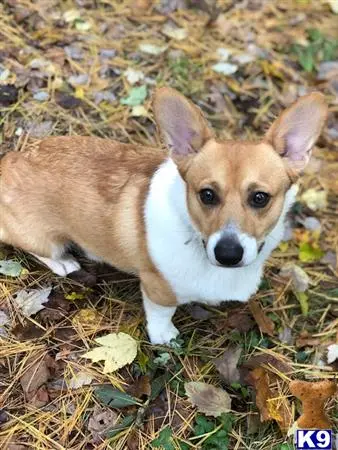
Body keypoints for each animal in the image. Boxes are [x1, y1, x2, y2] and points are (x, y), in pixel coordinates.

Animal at [0, 88, 328, 344]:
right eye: (207, 194)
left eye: (260, 198)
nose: (228, 254)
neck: (194, 238)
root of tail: (11, 160)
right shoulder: (158, 288)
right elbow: (161, 313)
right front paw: (164, 336)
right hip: (44, 241)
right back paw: (65, 262)